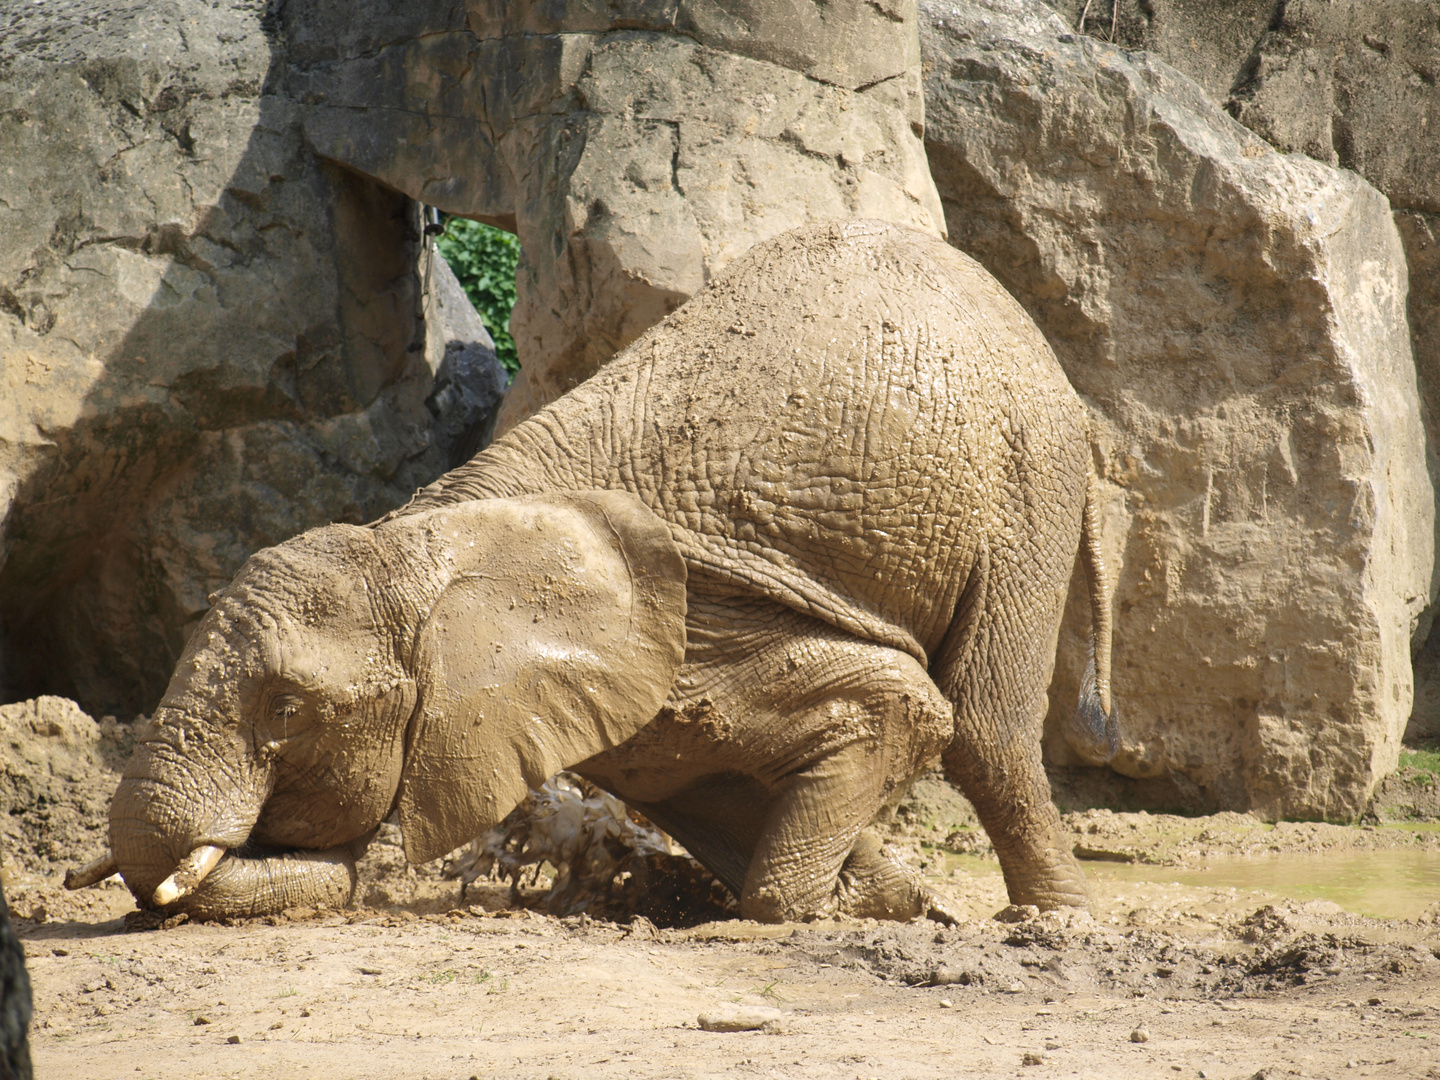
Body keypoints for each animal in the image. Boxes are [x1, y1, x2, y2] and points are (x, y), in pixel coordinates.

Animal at [84, 220, 1117, 921]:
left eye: (289, 710)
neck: (426, 540)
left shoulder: (702, 627)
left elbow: (901, 706)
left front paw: (810, 910)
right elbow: (704, 790)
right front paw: (890, 901)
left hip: (1026, 480)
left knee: (982, 728)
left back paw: (1056, 921)